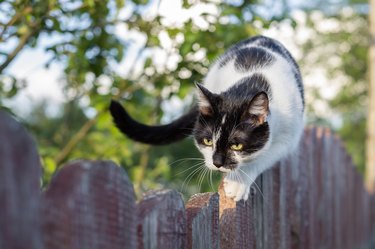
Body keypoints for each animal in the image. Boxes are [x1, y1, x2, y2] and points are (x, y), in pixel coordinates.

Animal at [110, 36, 304, 201]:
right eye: (208, 141)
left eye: (237, 145)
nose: (217, 163)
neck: (251, 82)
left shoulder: (289, 135)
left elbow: (265, 156)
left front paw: (237, 182)